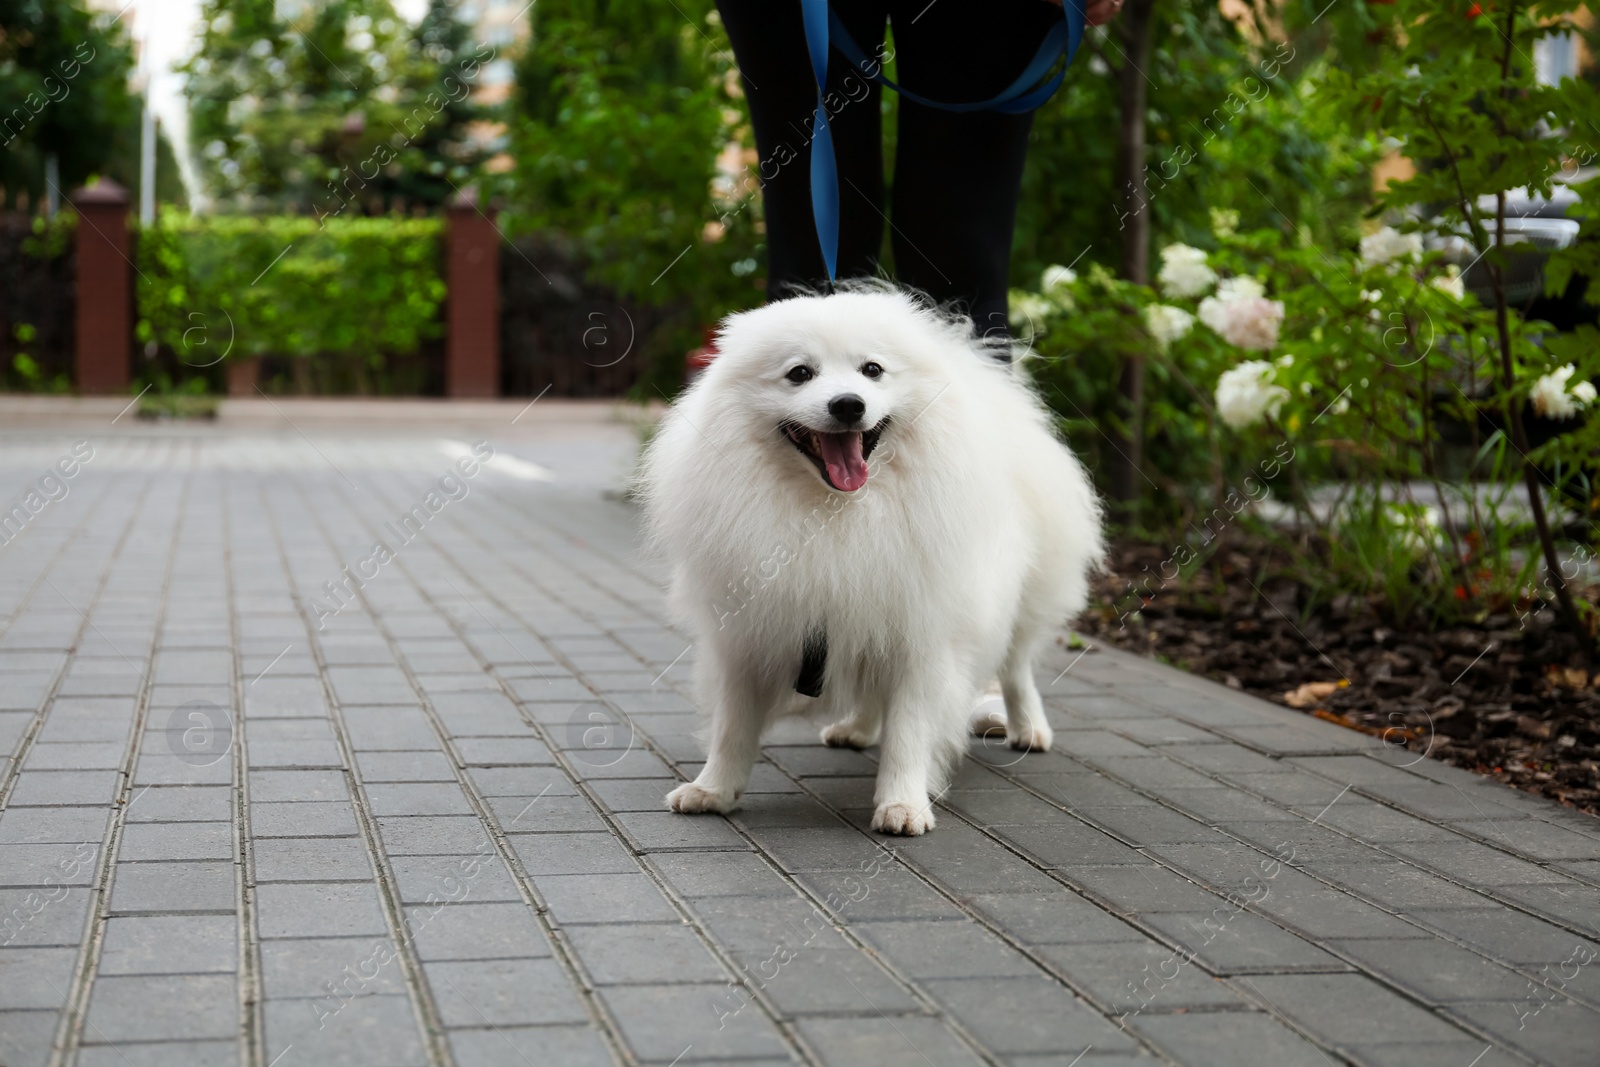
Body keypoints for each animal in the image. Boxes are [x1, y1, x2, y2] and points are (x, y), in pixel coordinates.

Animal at [636, 289, 1100, 831]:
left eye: (872, 370)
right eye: (800, 373)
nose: (848, 404)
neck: (836, 515)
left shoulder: (924, 636)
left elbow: (909, 730)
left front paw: (903, 804)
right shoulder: (750, 635)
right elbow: (732, 724)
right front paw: (713, 789)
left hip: (1021, 601)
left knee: (1016, 667)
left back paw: (1027, 727)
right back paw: (856, 727)